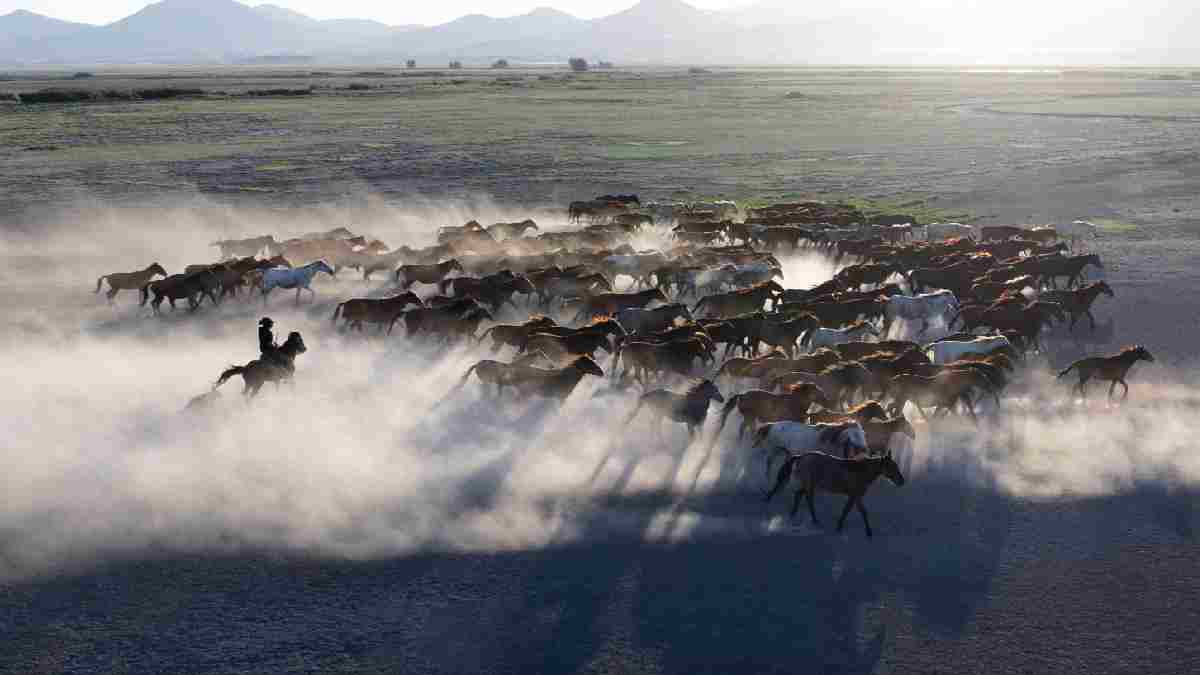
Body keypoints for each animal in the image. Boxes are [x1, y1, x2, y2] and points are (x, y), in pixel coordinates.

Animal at [763, 449, 902, 538]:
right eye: (891, 467)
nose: (902, 481)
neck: (861, 471)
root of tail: (801, 456)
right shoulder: (854, 495)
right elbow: (854, 511)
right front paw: (867, 532)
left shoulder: (855, 496)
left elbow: (856, 511)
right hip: (810, 484)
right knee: (808, 499)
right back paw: (814, 521)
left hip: (808, 484)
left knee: (799, 495)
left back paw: (794, 515)